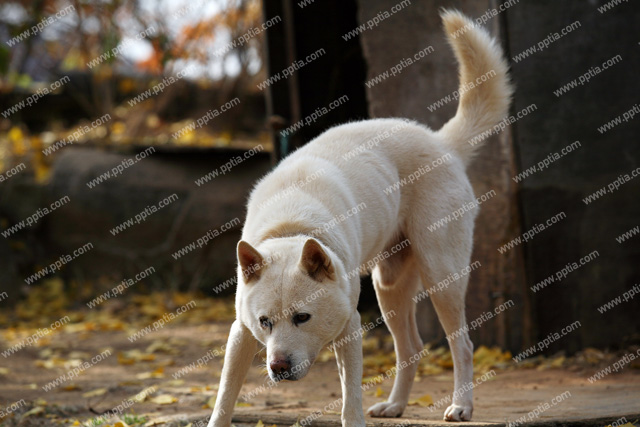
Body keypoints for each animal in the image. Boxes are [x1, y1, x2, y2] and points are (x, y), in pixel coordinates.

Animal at [208, 10, 512, 427]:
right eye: (265, 322)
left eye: (302, 318)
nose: (278, 368)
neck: (292, 227)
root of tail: (440, 142)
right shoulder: (240, 333)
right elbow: (224, 396)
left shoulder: (350, 328)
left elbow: (350, 398)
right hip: (389, 286)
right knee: (411, 347)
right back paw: (395, 405)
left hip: (442, 277)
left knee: (461, 343)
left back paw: (461, 406)